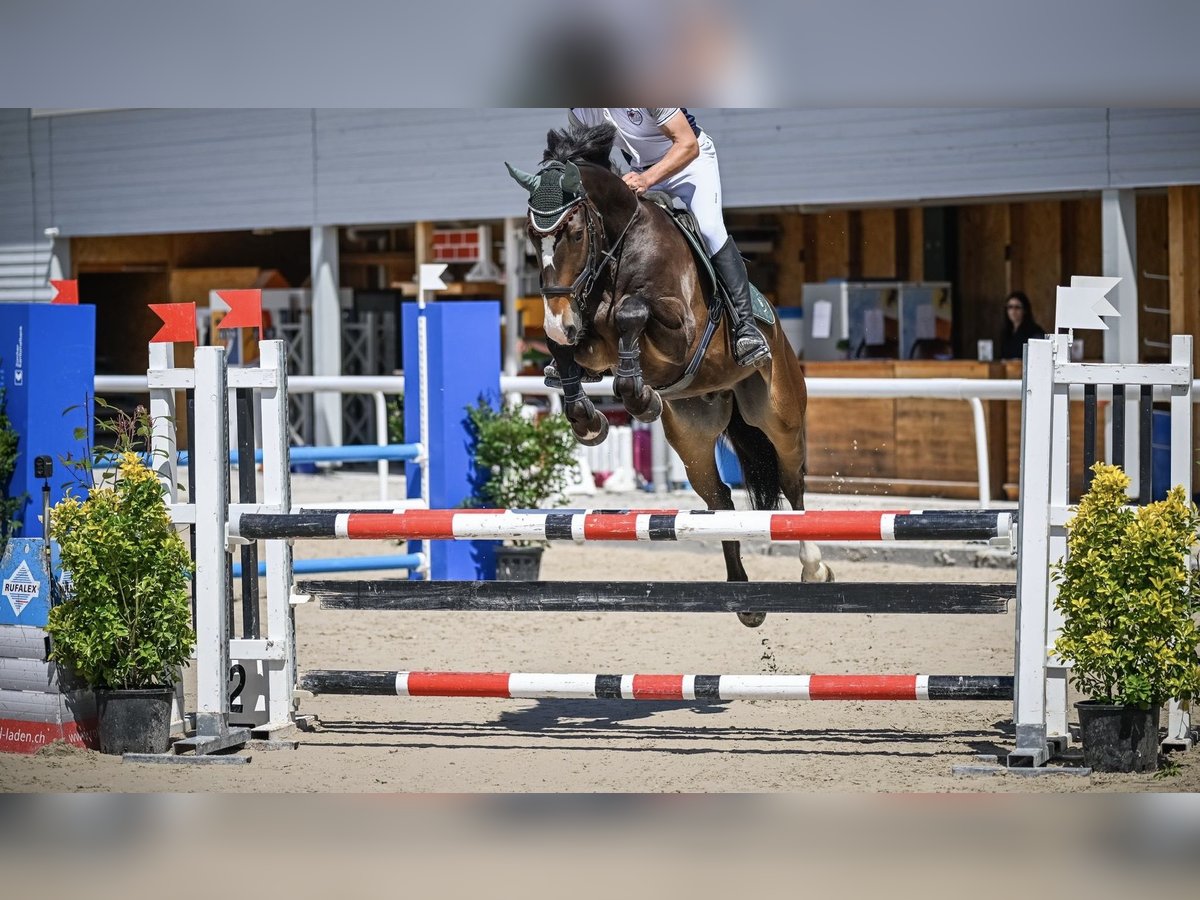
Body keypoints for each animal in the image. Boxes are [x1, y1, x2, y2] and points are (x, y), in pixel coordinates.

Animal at [501, 121, 830, 628]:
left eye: (573, 233)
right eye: (533, 239)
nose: (557, 319)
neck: (615, 249)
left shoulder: (681, 331)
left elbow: (631, 313)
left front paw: (638, 396)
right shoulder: (585, 334)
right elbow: (571, 352)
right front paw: (590, 419)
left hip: (779, 415)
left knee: (792, 481)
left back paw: (814, 568)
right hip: (692, 435)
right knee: (720, 502)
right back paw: (744, 600)